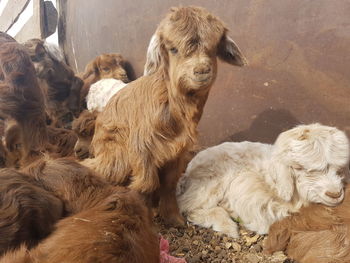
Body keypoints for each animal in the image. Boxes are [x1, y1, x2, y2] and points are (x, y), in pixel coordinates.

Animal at [82, 5, 246, 227]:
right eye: (173, 49)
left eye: (214, 48)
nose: (201, 70)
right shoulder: (141, 148)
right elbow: (146, 184)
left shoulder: (177, 151)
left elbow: (168, 184)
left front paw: (174, 218)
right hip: (115, 155)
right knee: (94, 167)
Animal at [178, 125, 350, 238]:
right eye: (302, 169)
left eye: (339, 169)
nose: (335, 194)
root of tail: (188, 171)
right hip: (211, 182)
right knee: (187, 207)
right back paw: (228, 226)